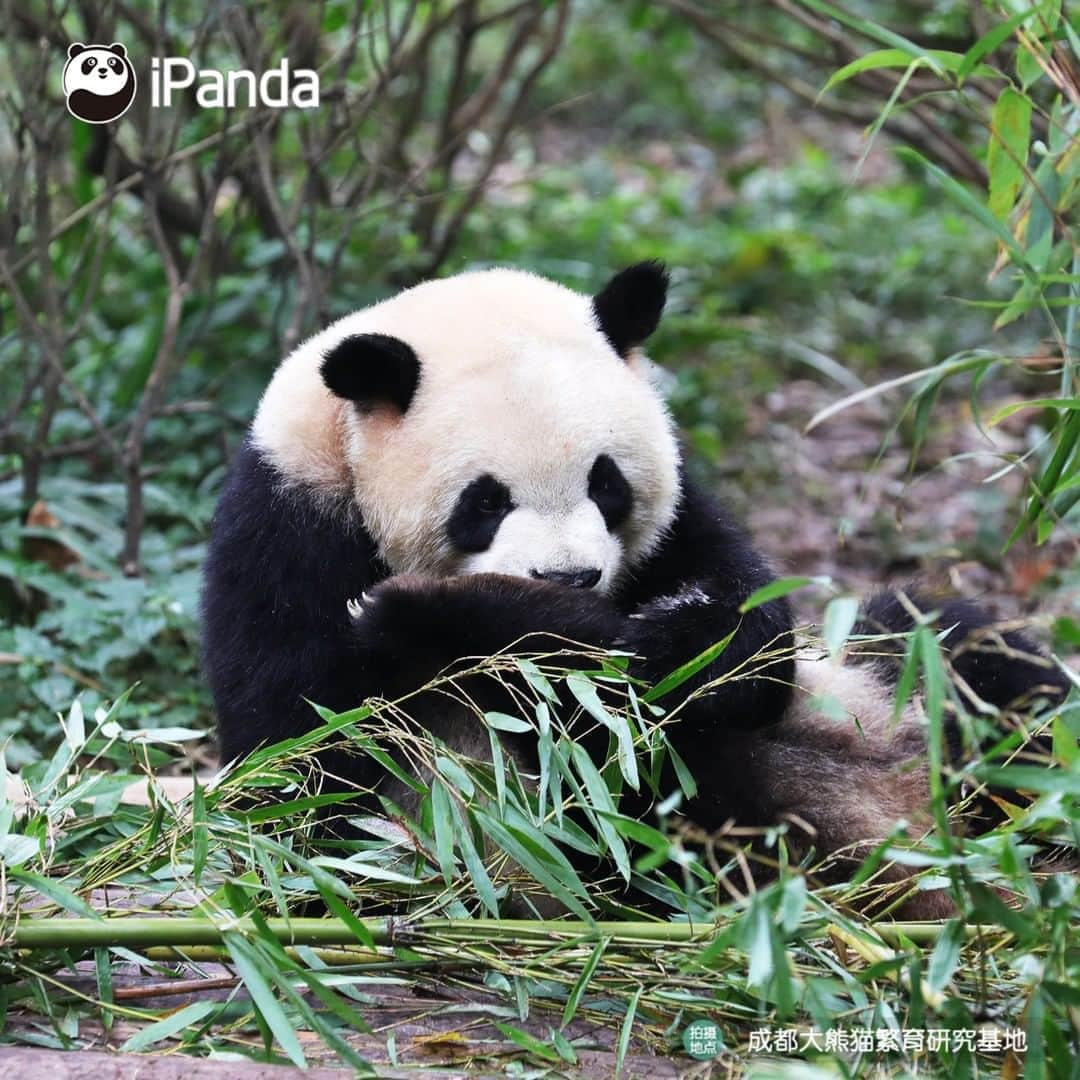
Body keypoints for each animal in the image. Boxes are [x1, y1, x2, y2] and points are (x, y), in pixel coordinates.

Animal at [200, 261, 1062, 911]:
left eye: (606, 483)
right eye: (485, 502)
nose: (571, 576)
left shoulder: (681, 524)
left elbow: (730, 655)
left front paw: (444, 613)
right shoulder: (287, 529)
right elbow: (310, 743)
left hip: (885, 685)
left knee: (971, 655)